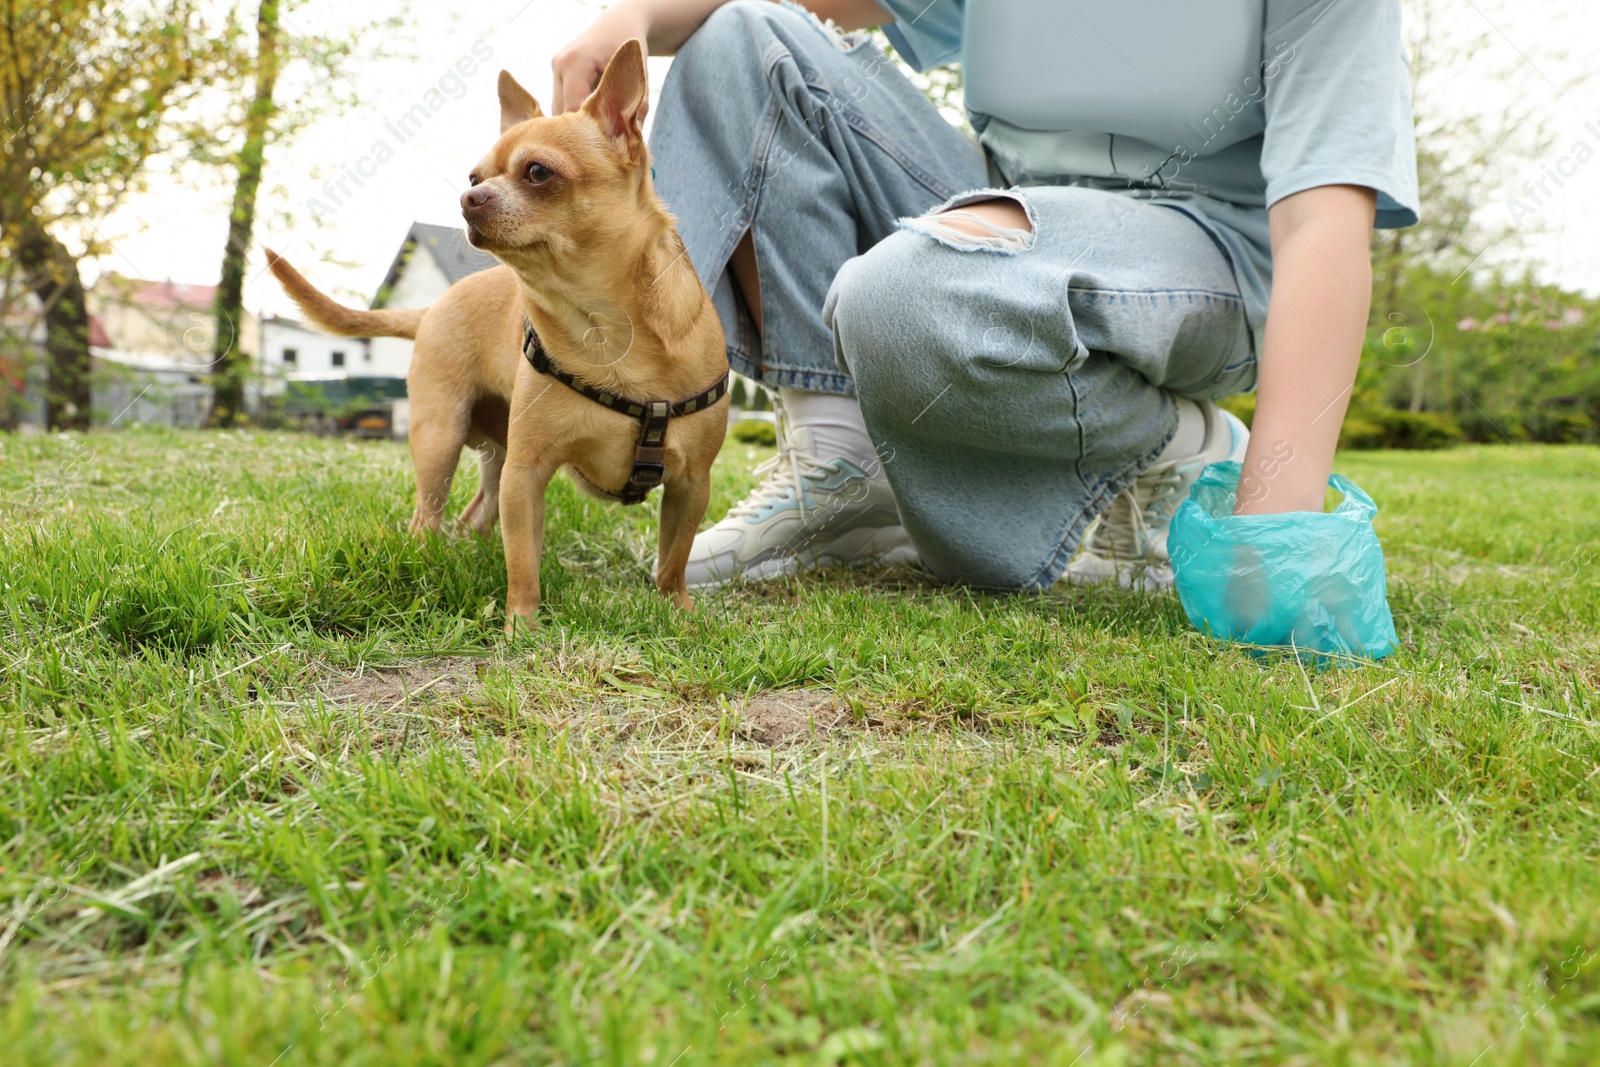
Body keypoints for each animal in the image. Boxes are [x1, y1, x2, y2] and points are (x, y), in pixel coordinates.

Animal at [467, 41, 729, 627]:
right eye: (474, 178)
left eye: (537, 172)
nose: (467, 199)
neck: (605, 327)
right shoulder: (526, 473)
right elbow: (523, 560)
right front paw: (522, 622)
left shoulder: (693, 483)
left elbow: (674, 556)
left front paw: (676, 609)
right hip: (439, 433)